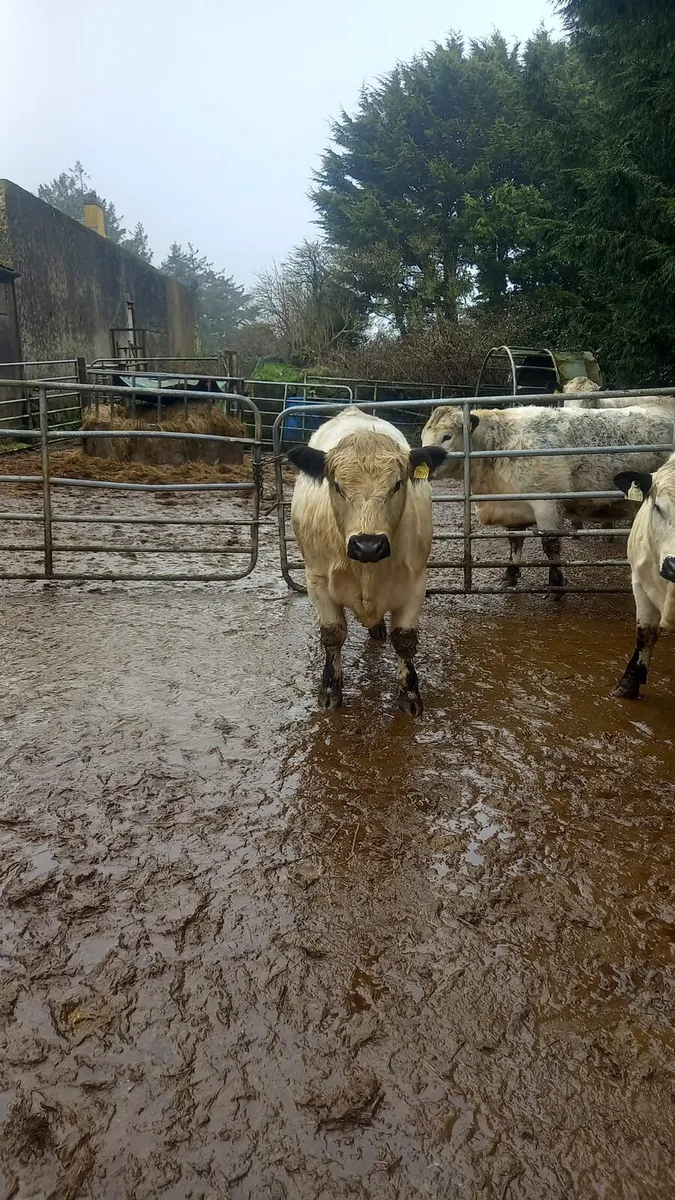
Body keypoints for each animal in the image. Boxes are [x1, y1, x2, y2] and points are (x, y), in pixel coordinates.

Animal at [287, 407, 447, 715]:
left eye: (397, 484)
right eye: (337, 486)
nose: (368, 545)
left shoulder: (416, 583)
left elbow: (405, 640)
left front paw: (410, 694)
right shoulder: (317, 581)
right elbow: (333, 635)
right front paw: (330, 690)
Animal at [421, 404, 675, 593]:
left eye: (446, 436)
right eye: (424, 437)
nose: (421, 461)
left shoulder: (548, 503)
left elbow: (550, 544)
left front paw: (556, 583)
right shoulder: (513, 506)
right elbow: (514, 542)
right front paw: (510, 575)